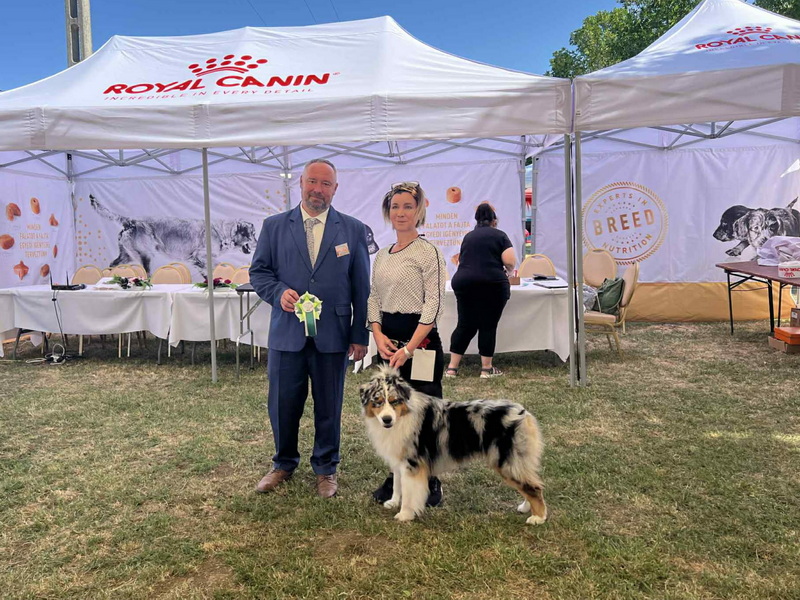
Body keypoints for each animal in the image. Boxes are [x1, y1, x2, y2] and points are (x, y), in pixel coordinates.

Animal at [90, 195, 257, 275]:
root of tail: (130, 220)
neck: (223, 232)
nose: (257, 244)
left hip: (127, 255)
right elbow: (216, 266)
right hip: (146, 255)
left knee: (112, 265)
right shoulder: (200, 255)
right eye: (253, 234)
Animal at [359, 365, 547, 525]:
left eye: (394, 401)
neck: (403, 417)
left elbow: (409, 493)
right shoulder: (399, 460)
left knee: (534, 488)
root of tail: (524, 414)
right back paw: (526, 508)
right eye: (377, 402)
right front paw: (393, 502)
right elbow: (397, 485)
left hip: (507, 461)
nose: (387, 419)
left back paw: (538, 517)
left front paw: (405, 514)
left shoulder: (412, 463)